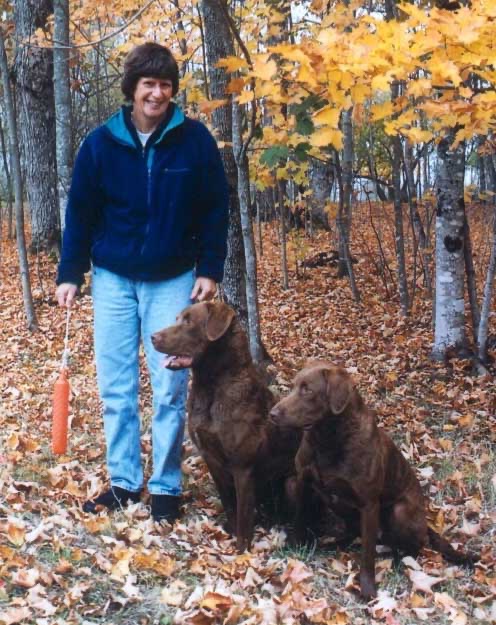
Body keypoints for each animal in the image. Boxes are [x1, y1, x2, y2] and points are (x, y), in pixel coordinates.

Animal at [150, 302, 298, 552]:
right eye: (177, 318)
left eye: (188, 321)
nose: (153, 336)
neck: (211, 387)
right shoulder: (212, 459)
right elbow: (230, 504)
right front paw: (229, 532)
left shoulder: (243, 467)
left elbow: (243, 515)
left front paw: (241, 551)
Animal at [270, 360, 478, 600]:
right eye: (294, 386)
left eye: (307, 390)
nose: (272, 413)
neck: (328, 440)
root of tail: (427, 524)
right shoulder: (303, 482)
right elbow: (299, 520)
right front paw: (294, 548)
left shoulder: (369, 504)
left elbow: (367, 554)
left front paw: (368, 589)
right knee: (352, 534)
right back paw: (331, 544)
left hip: (400, 511)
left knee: (414, 545)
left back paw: (399, 561)